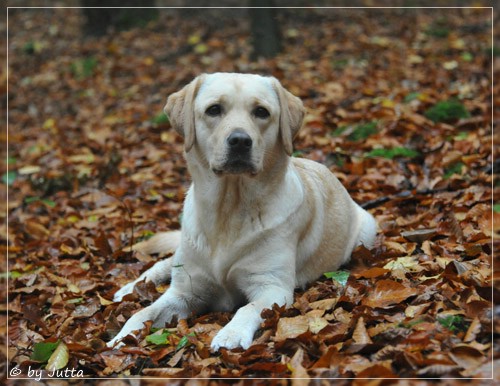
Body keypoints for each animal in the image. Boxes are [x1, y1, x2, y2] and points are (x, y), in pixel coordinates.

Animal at [108, 74, 376, 352]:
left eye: (261, 112)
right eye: (214, 109)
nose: (240, 141)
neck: (229, 210)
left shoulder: (272, 287)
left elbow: (247, 308)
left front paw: (231, 334)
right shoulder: (185, 291)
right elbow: (143, 312)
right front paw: (121, 337)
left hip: (367, 229)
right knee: (164, 263)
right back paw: (130, 287)